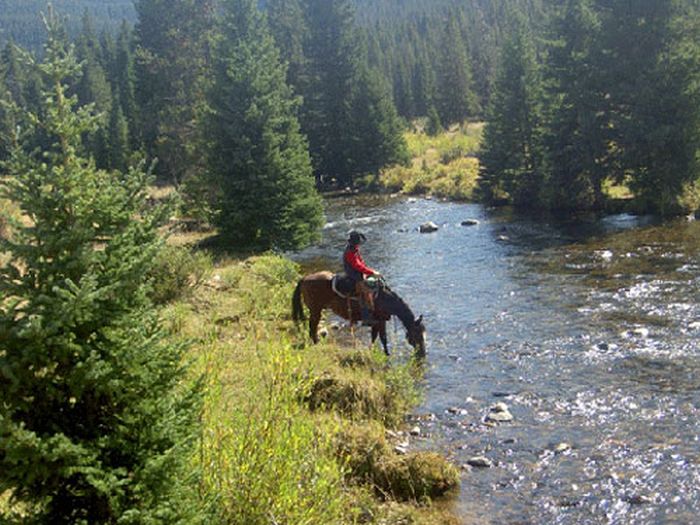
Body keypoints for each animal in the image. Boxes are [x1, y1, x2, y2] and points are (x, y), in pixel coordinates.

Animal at [292, 270, 426, 356]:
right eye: (418, 334)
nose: (423, 353)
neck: (386, 300)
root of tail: (304, 278)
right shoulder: (380, 321)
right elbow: (383, 338)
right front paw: (387, 354)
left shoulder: (377, 322)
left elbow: (374, 337)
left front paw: (373, 350)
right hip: (316, 310)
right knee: (312, 327)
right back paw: (316, 343)